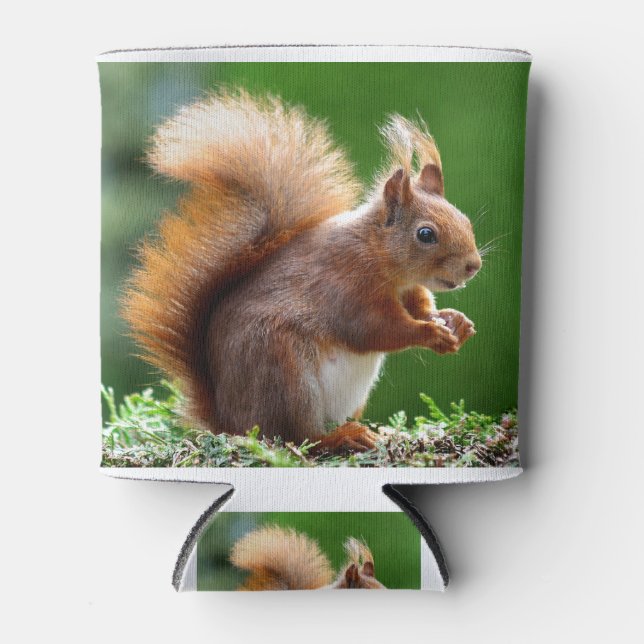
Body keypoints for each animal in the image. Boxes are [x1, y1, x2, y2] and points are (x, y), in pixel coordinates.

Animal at [122, 88, 481, 454]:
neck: (379, 258)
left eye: (464, 219)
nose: (473, 266)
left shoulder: (409, 289)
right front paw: (430, 333)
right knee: (298, 436)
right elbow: (375, 329)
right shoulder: (346, 285)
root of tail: (229, 421)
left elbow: (420, 307)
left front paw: (455, 322)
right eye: (425, 234)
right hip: (285, 372)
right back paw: (341, 437)